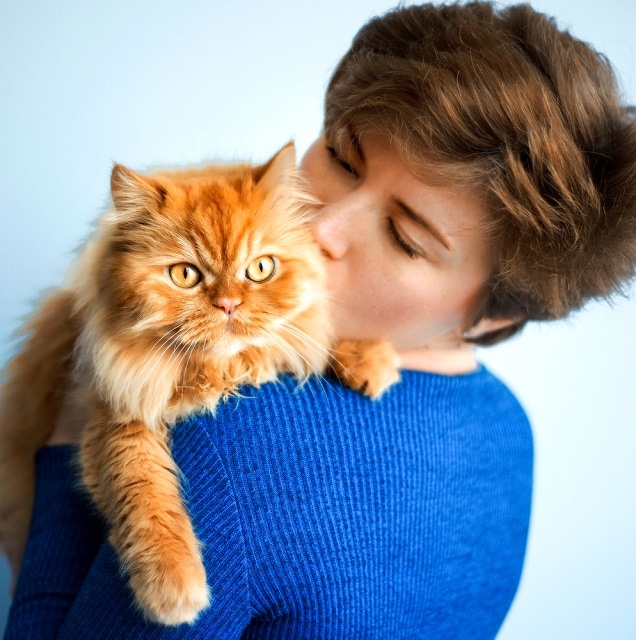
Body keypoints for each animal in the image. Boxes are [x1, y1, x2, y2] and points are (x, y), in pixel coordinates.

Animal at [0, 144, 398, 624]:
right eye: (185, 275)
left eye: (260, 269)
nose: (228, 305)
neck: (214, 371)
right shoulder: (115, 417)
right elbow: (145, 495)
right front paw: (172, 586)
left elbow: (306, 342)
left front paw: (367, 358)